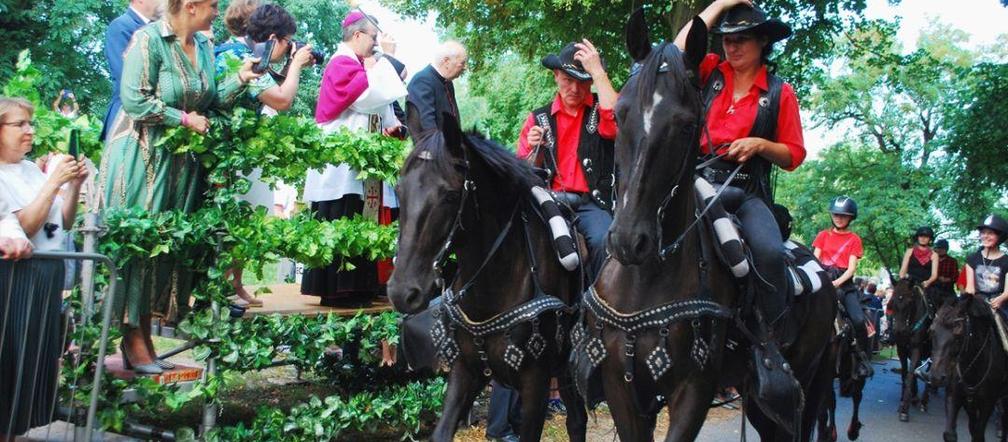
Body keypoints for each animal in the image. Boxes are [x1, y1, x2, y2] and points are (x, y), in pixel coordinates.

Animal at [576, 8, 834, 439]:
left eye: (684, 124)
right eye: (621, 114)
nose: (629, 240)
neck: (646, 281)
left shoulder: (694, 390)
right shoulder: (622, 388)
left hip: (803, 381)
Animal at [891, 280, 935, 421]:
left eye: (909, 302)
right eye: (892, 301)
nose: (898, 331)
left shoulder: (916, 349)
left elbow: (910, 374)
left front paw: (905, 409)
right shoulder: (902, 349)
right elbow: (906, 373)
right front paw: (905, 399)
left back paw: (924, 401)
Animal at [923, 292, 1003, 442]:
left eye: (959, 331)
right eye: (931, 331)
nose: (936, 377)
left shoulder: (988, 402)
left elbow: (978, 433)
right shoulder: (955, 395)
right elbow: (951, 433)